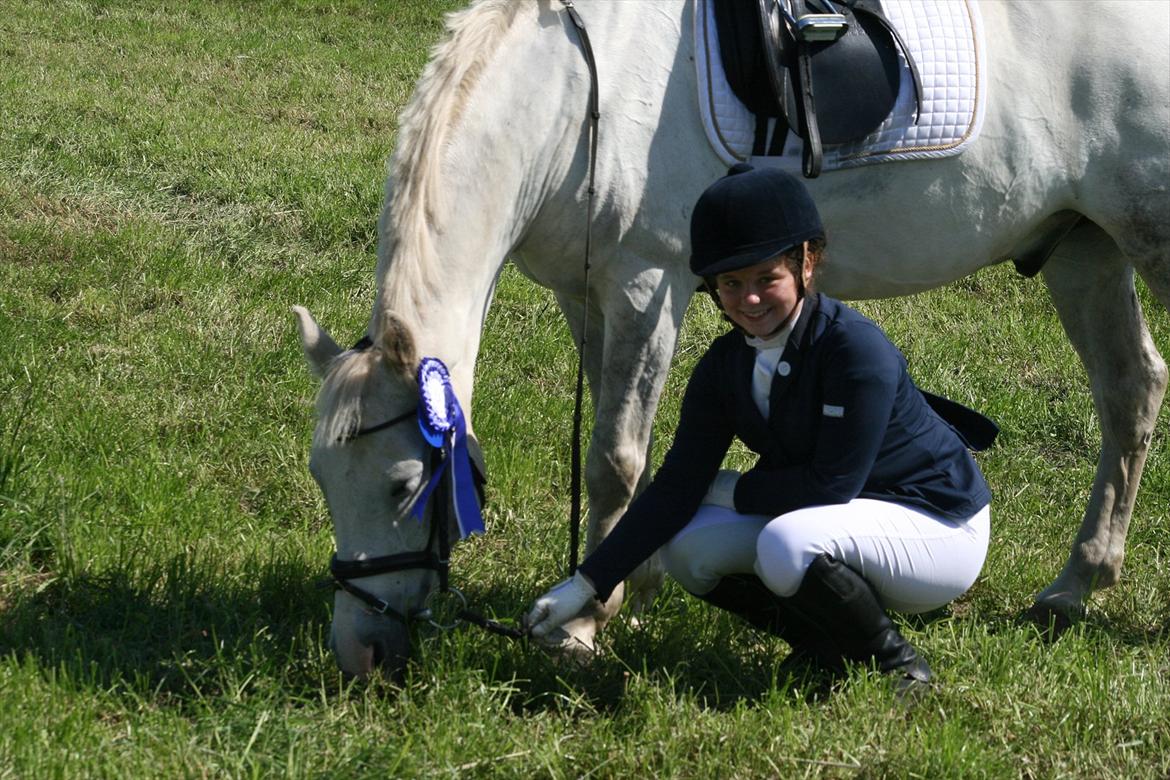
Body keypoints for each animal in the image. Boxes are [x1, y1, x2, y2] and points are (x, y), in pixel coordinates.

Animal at [292, 1, 1170, 678]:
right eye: (322, 479)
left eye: (405, 487)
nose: (361, 653)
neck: (576, 94)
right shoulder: (587, 297)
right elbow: (639, 456)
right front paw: (634, 582)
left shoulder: (645, 286)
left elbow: (614, 460)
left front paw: (584, 621)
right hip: (1084, 249)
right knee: (1131, 390)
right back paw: (1076, 587)